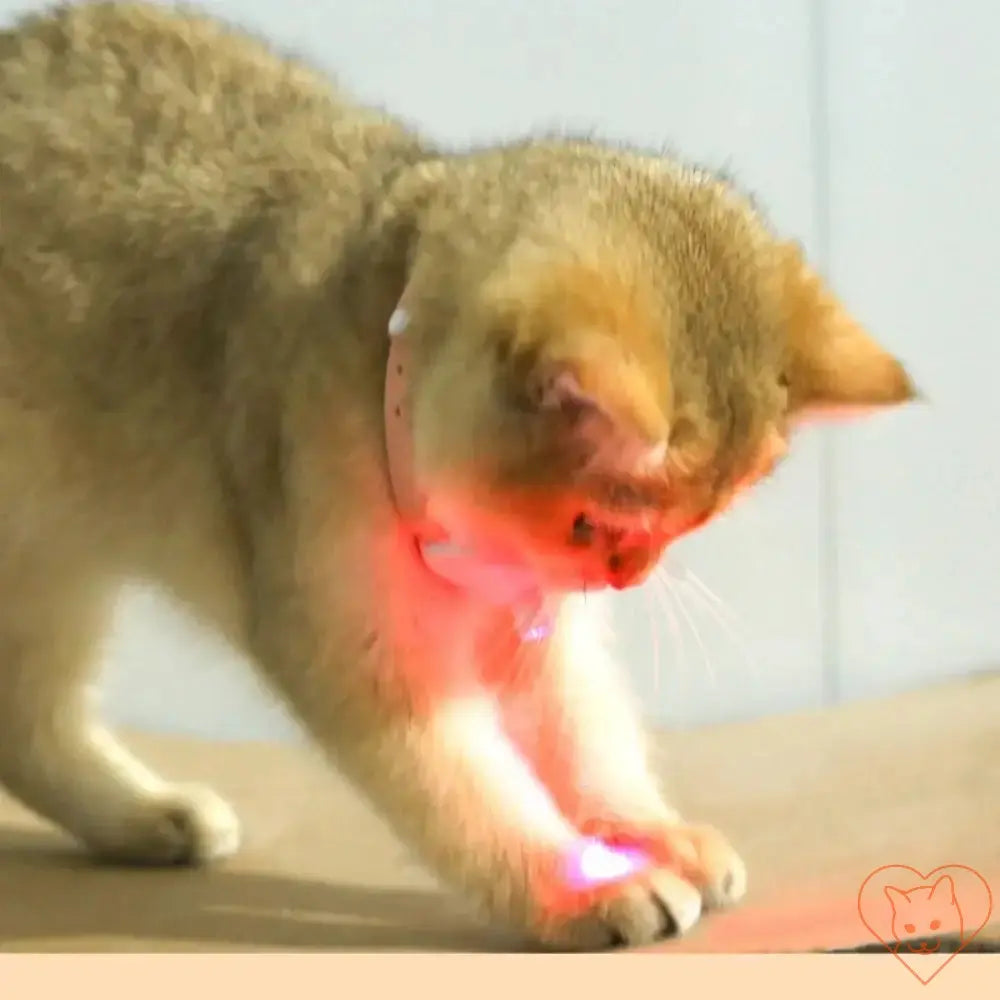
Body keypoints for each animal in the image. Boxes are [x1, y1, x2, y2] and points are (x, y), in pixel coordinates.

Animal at [0, 1, 916, 952]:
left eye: (689, 525)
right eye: (597, 521)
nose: (631, 576)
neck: (376, 360)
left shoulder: (540, 625)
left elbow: (585, 736)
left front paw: (639, 829)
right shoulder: (364, 653)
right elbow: (466, 792)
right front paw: (574, 887)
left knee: (23, 720)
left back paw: (141, 817)